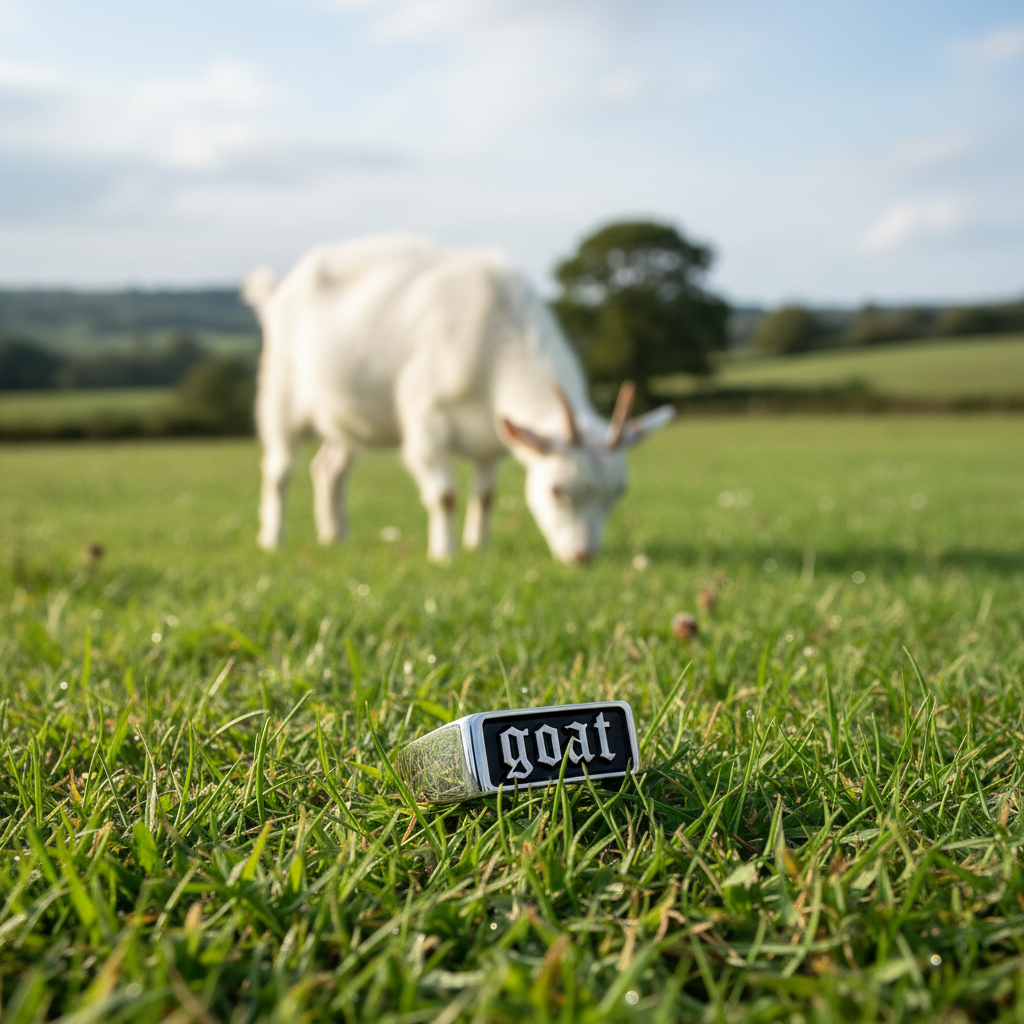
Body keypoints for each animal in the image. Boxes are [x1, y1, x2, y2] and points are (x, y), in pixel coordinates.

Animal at [243, 234, 674, 563]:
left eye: (618, 492)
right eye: (556, 489)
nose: (584, 557)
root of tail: (277, 292)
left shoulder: (490, 437)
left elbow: (485, 496)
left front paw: (477, 547)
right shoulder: (426, 421)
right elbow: (446, 495)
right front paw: (445, 554)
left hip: (349, 419)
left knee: (329, 469)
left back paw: (335, 535)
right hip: (280, 393)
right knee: (278, 469)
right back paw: (272, 538)